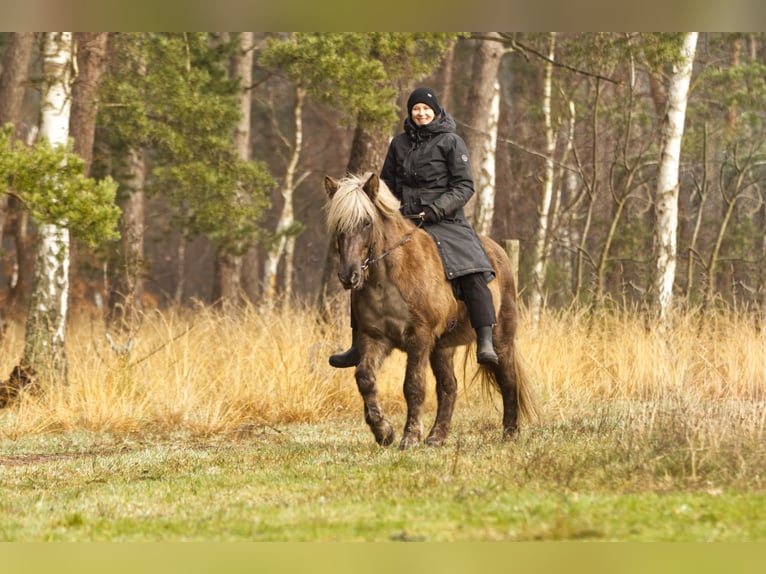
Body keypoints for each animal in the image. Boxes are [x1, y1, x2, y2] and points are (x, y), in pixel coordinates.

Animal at [326, 173, 540, 452]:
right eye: (337, 225)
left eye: (366, 222)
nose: (348, 275)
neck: (387, 278)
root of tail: (499, 252)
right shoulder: (375, 338)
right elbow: (365, 377)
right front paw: (383, 432)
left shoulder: (419, 337)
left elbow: (413, 385)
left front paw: (410, 437)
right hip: (442, 348)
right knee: (449, 387)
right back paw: (437, 436)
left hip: (500, 339)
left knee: (508, 380)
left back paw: (510, 433)